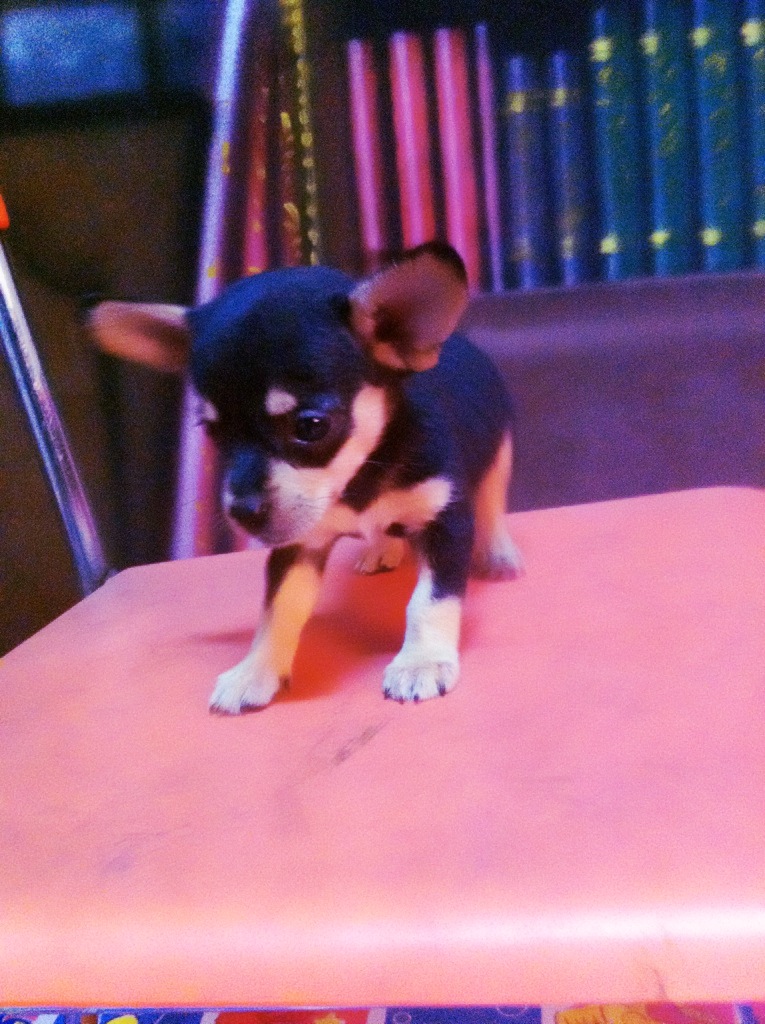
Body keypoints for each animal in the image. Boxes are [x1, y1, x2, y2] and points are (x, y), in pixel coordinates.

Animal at [90, 241, 522, 712]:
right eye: (212, 431)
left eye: (310, 426)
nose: (241, 512)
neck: (358, 480)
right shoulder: (299, 545)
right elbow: (279, 607)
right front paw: (256, 669)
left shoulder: (446, 522)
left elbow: (429, 601)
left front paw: (421, 661)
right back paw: (382, 547)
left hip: (499, 454)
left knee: (492, 504)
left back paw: (498, 552)